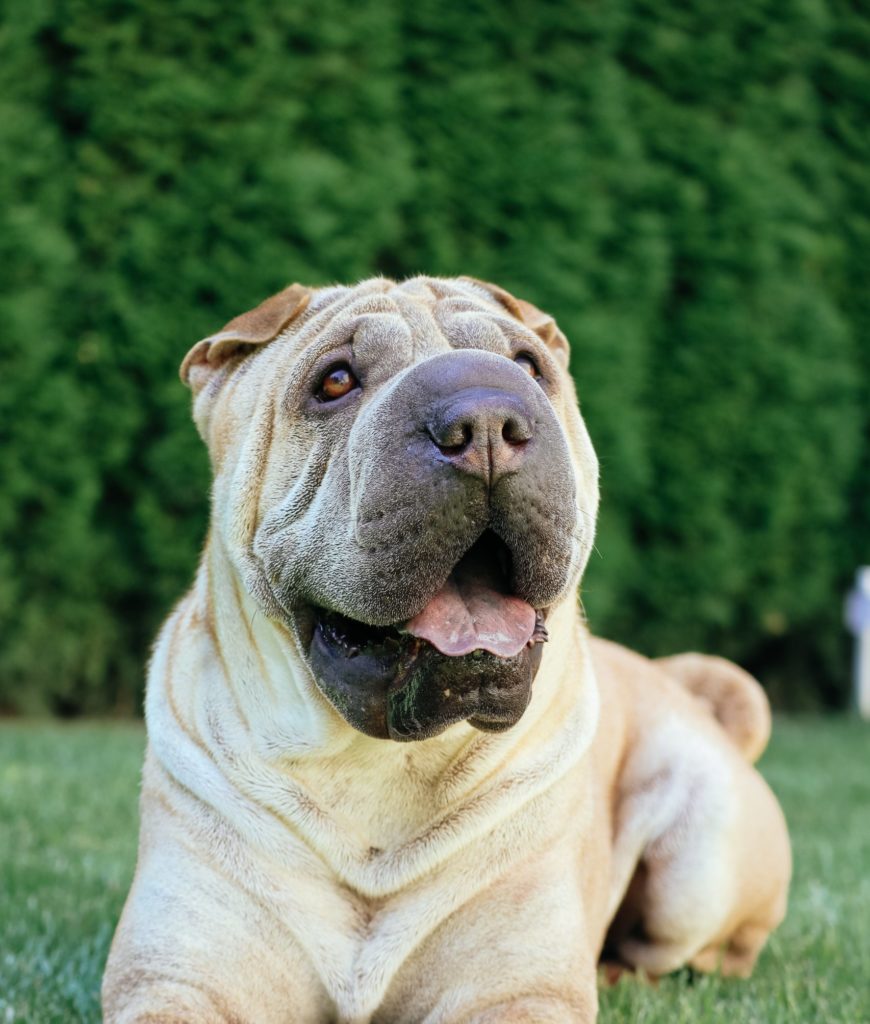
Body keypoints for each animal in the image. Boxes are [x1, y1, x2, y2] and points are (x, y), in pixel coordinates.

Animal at [99, 276, 786, 1019]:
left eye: (530, 365)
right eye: (335, 380)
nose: (487, 420)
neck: (374, 768)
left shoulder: (517, 988)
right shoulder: (177, 979)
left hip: (700, 857)